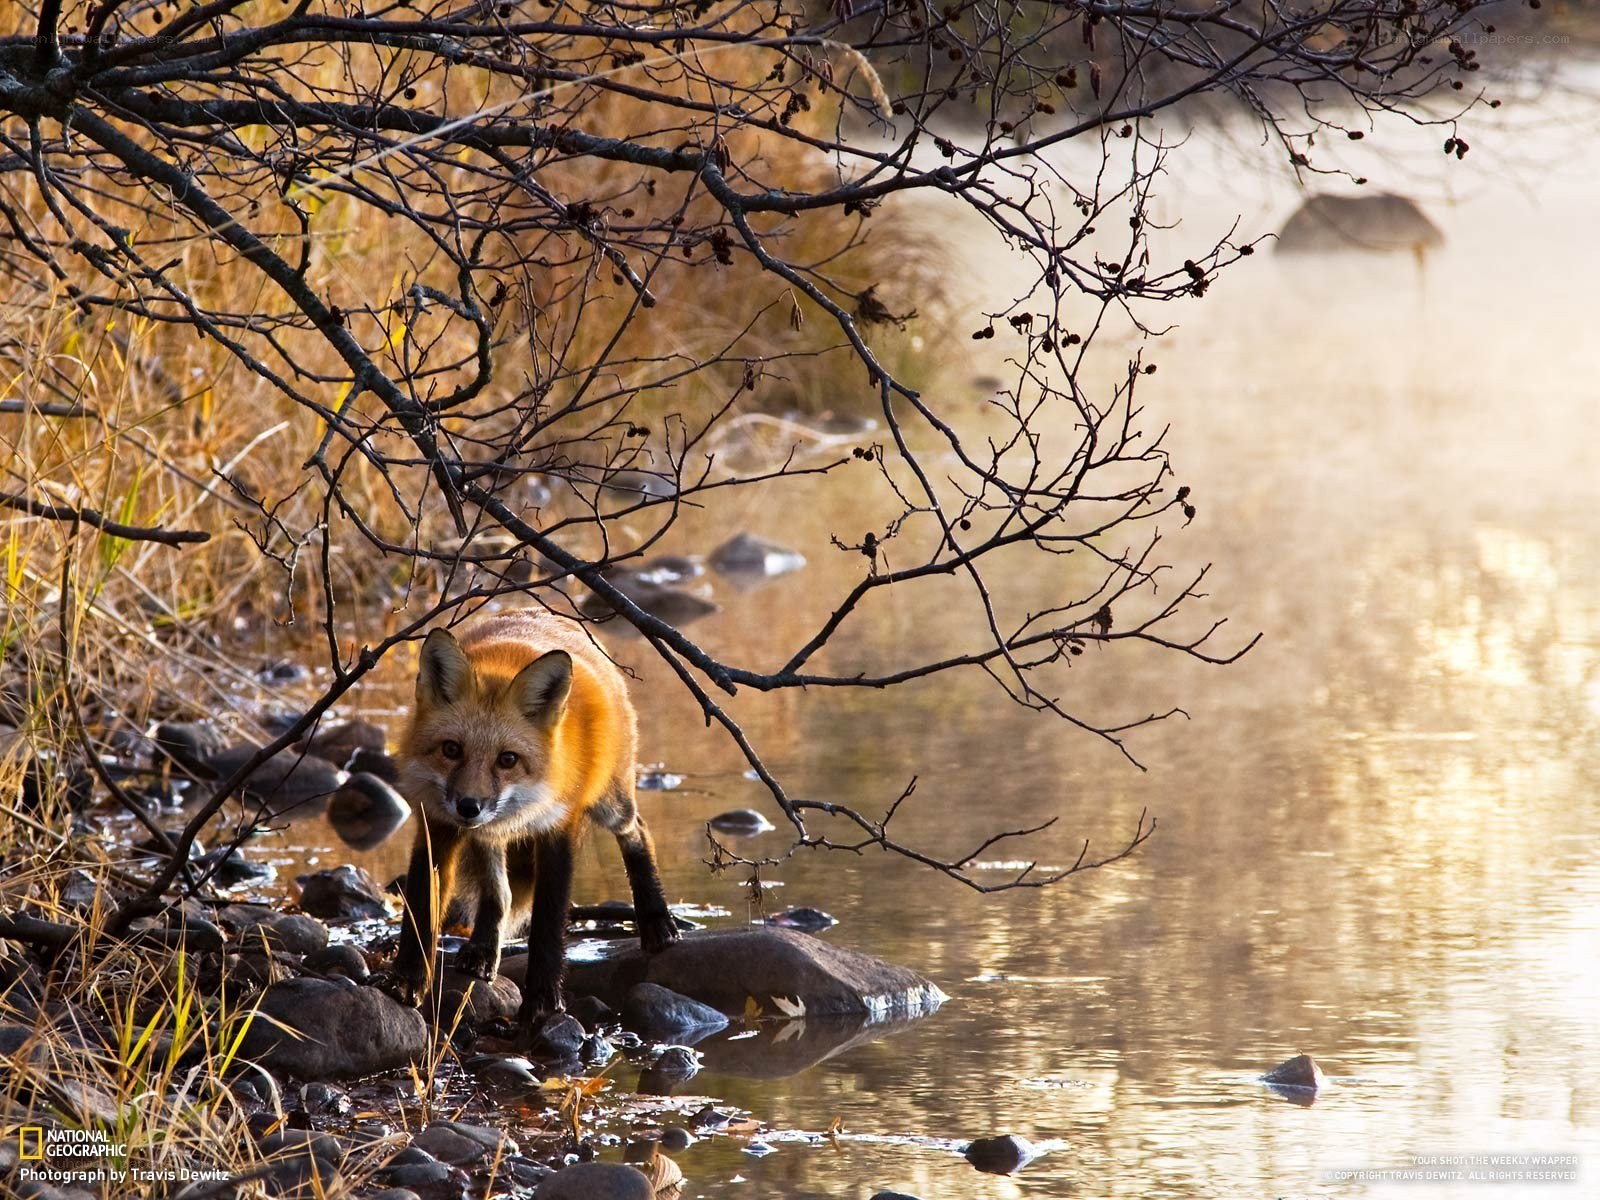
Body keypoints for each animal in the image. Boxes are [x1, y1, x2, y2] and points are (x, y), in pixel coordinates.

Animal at [386, 609, 678, 1024]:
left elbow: (548, 920)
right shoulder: (438, 823)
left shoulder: (558, 828)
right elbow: (422, 909)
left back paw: (655, 918)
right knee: (500, 894)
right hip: (489, 838)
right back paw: (482, 950)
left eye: (507, 759)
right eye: (451, 749)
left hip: (612, 801)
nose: (469, 806)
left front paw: (542, 997)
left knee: (636, 832)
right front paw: (407, 980)